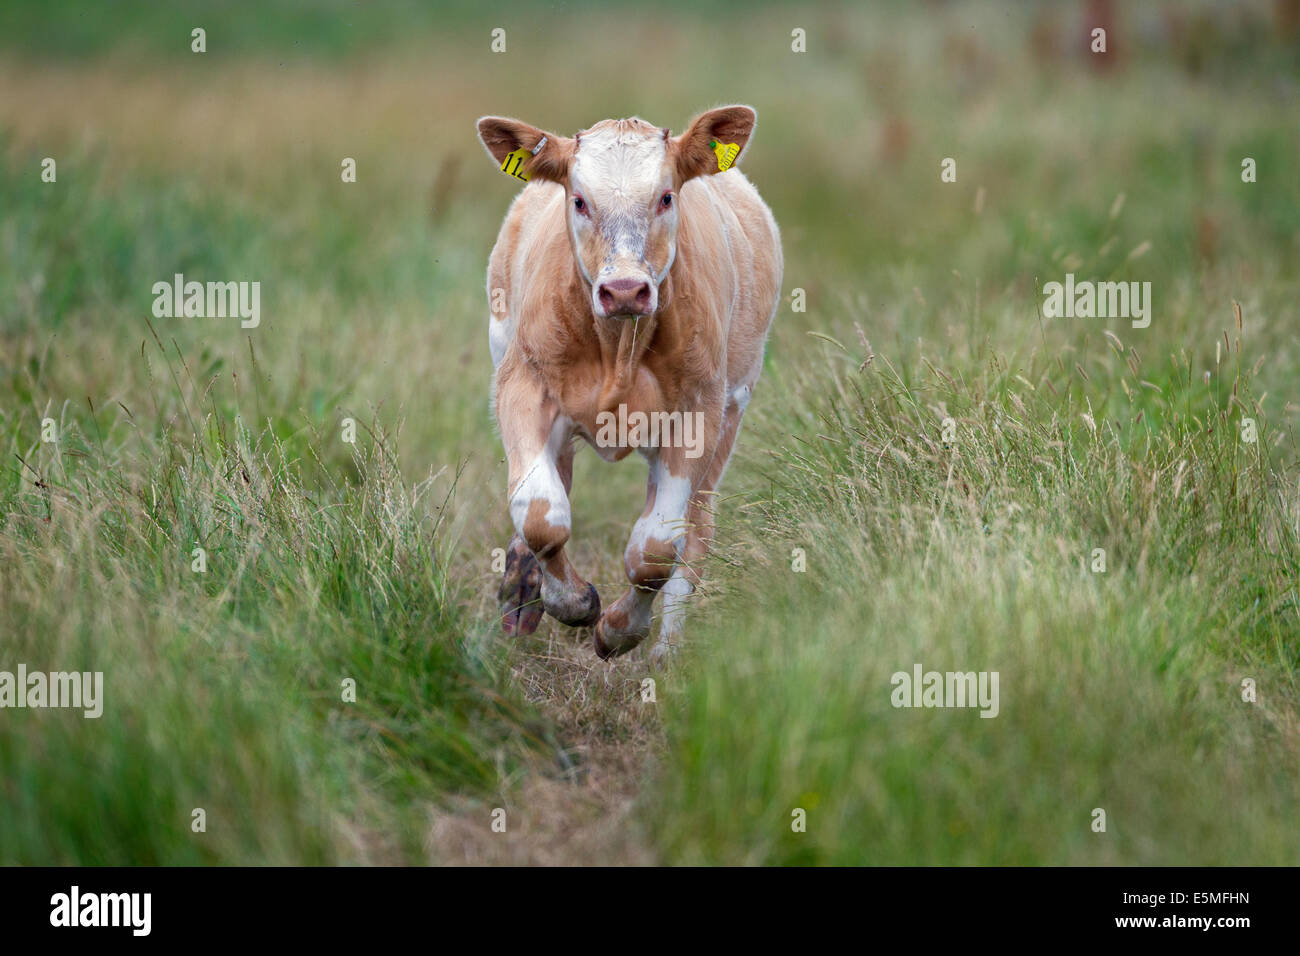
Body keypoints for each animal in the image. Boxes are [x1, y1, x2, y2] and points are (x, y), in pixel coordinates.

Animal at [478, 104, 780, 658]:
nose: (623, 290)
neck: (618, 348)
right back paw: (521, 593)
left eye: (666, 196)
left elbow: (656, 548)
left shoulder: (699, 411)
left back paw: (667, 653)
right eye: (579, 200)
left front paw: (618, 629)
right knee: (555, 481)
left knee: (695, 529)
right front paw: (570, 601)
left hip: (731, 411)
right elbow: (541, 514)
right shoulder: (521, 382)